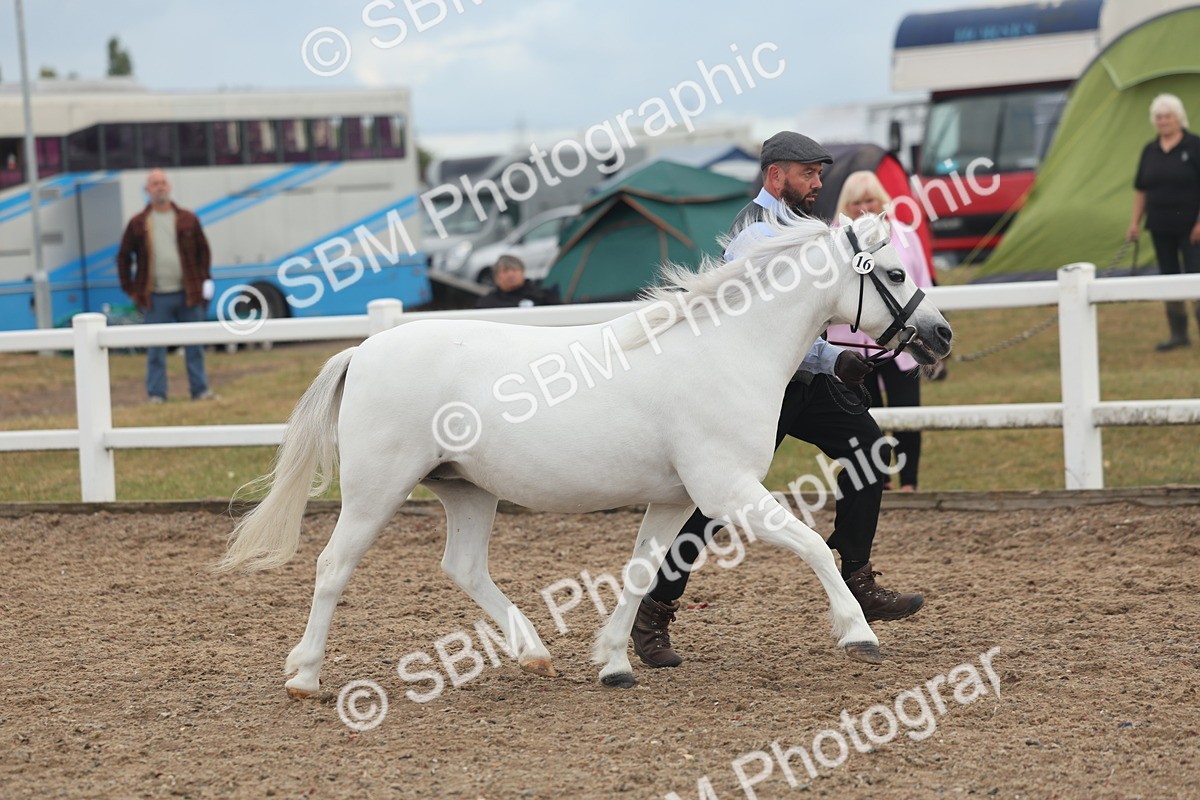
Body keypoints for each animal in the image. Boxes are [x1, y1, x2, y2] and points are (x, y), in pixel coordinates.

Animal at [217, 210, 953, 696]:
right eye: (893, 271)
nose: (941, 334)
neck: (725, 349)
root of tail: (363, 350)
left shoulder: (675, 499)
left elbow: (641, 572)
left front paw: (614, 662)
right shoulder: (727, 489)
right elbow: (810, 545)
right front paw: (858, 632)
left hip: (467, 489)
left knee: (463, 567)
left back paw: (535, 655)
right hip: (378, 490)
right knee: (333, 567)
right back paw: (305, 677)